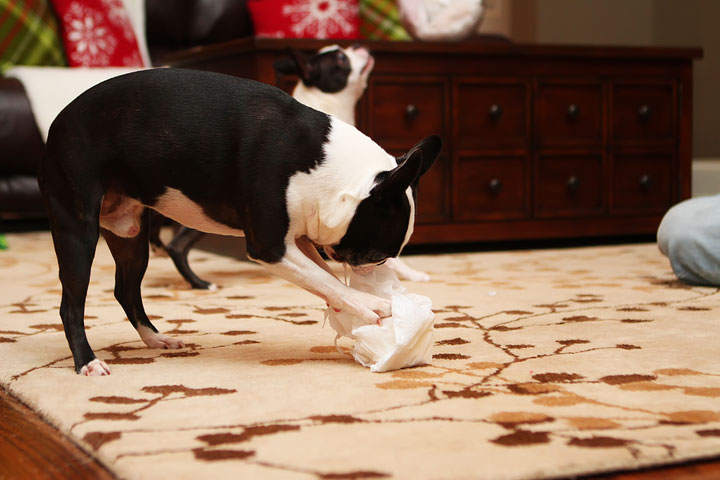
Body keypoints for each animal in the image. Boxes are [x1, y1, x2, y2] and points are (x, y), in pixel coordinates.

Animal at [42, 66, 442, 376]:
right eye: (378, 254)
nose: (377, 271)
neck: (322, 165)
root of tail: (57, 122)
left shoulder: (297, 237)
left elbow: (324, 277)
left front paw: (349, 306)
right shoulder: (270, 246)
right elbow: (328, 280)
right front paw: (370, 305)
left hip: (131, 236)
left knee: (126, 290)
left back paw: (155, 338)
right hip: (78, 229)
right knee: (71, 304)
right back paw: (87, 362)